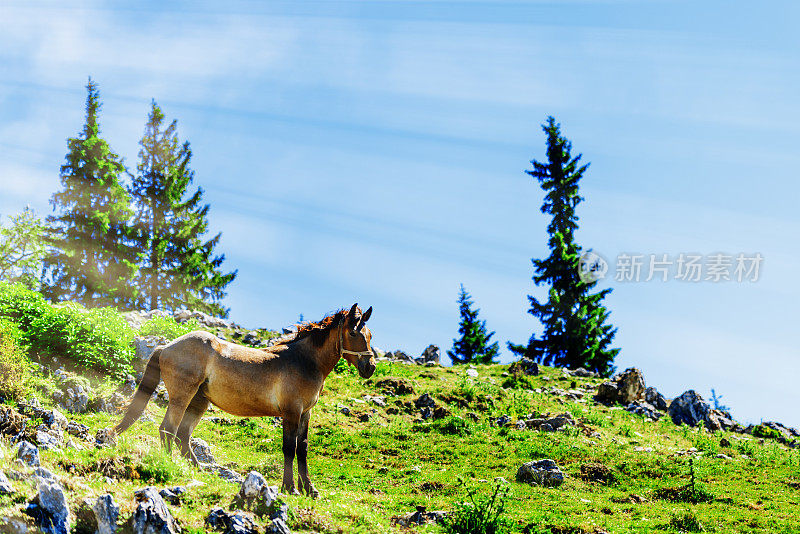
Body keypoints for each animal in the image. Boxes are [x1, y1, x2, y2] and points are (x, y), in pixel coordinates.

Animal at [114, 306, 376, 498]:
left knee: (183, 435)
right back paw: (171, 465)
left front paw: (310, 490)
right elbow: (289, 449)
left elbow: (302, 449)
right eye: (353, 333)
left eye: (370, 335)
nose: (370, 367)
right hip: (182, 396)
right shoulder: (291, 412)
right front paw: (290, 488)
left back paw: (197, 469)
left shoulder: (305, 414)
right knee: (168, 429)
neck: (304, 362)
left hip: (199, 401)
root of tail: (166, 346)